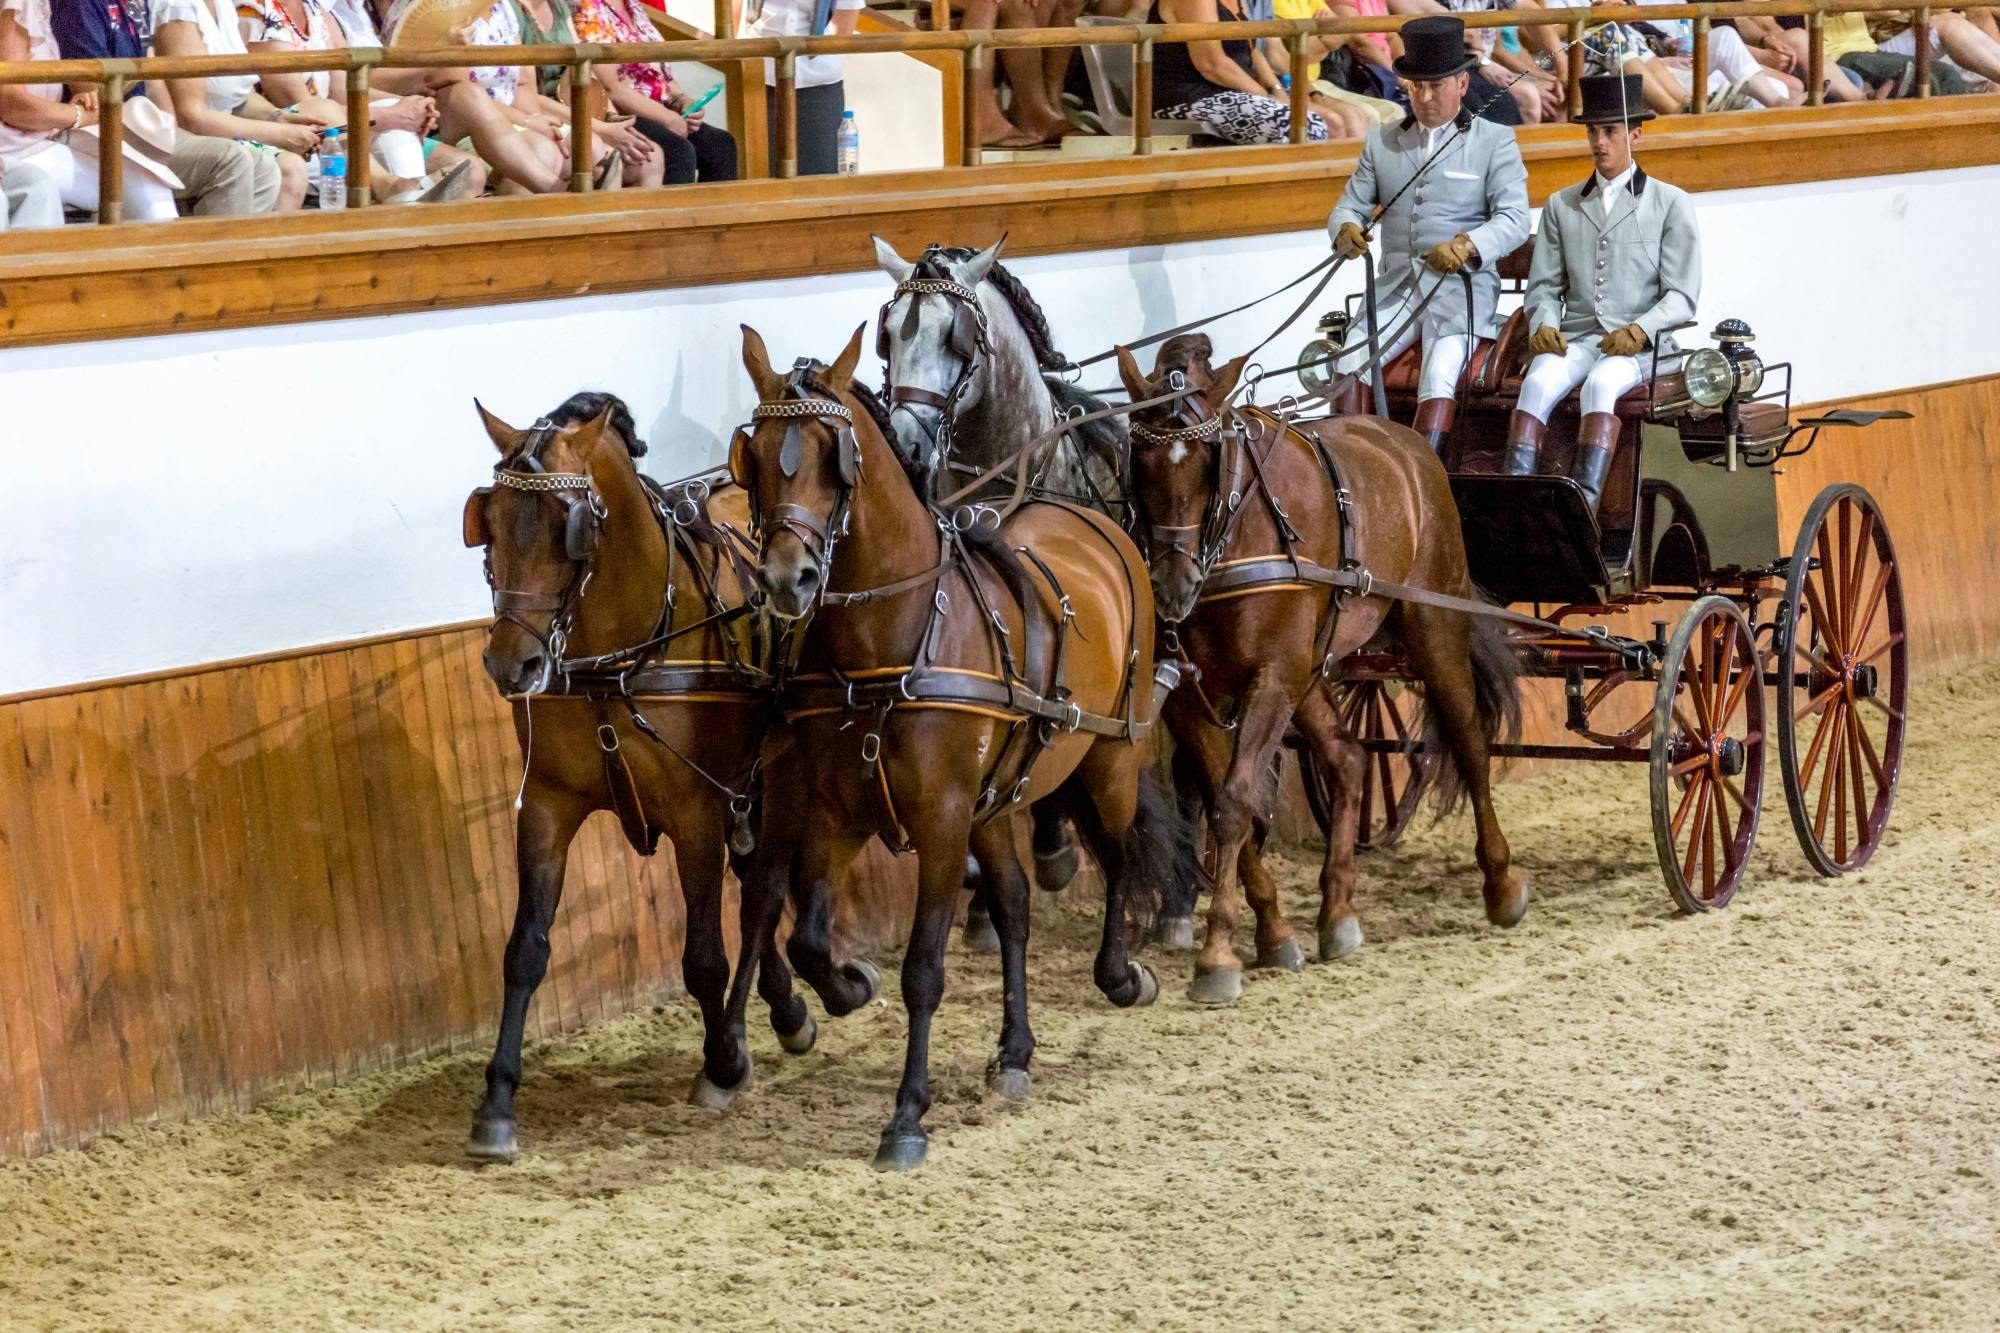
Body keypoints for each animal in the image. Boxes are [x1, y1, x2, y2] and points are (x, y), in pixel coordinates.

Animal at [462, 392, 820, 1152]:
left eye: (568, 528)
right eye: (490, 523)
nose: (511, 664)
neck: (616, 654)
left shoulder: (694, 810)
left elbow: (704, 955)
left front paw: (720, 1063)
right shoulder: (548, 804)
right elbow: (525, 949)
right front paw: (498, 1100)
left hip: (781, 771)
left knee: (763, 892)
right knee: (755, 880)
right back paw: (787, 1009)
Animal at [732, 322, 1168, 1160]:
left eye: (834, 457)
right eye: (757, 456)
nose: (786, 580)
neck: (891, 642)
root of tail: (1097, 524)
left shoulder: (940, 819)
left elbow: (923, 970)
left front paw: (907, 1114)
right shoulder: (841, 809)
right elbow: (808, 937)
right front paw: (847, 987)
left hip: (1110, 759)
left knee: (1122, 851)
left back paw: (1122, 974)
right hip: (997, 798)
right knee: (1015, 902)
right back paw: (1016, 1050)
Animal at [1120, 338, 1520, 1000]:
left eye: (1209, 458)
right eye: (1139, 459)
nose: (1172, 585)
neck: (1235, 534)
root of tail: (1409, 444)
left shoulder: (1270, 677)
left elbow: (1234, 803)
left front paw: (1218, 955)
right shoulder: (1187, 693)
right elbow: (1224, 798)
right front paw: (1274, 933)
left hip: (1433, 626)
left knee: (1468, 741)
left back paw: (1503, 883)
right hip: (1311, 667)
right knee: (1350, 757)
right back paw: (1337, 914)